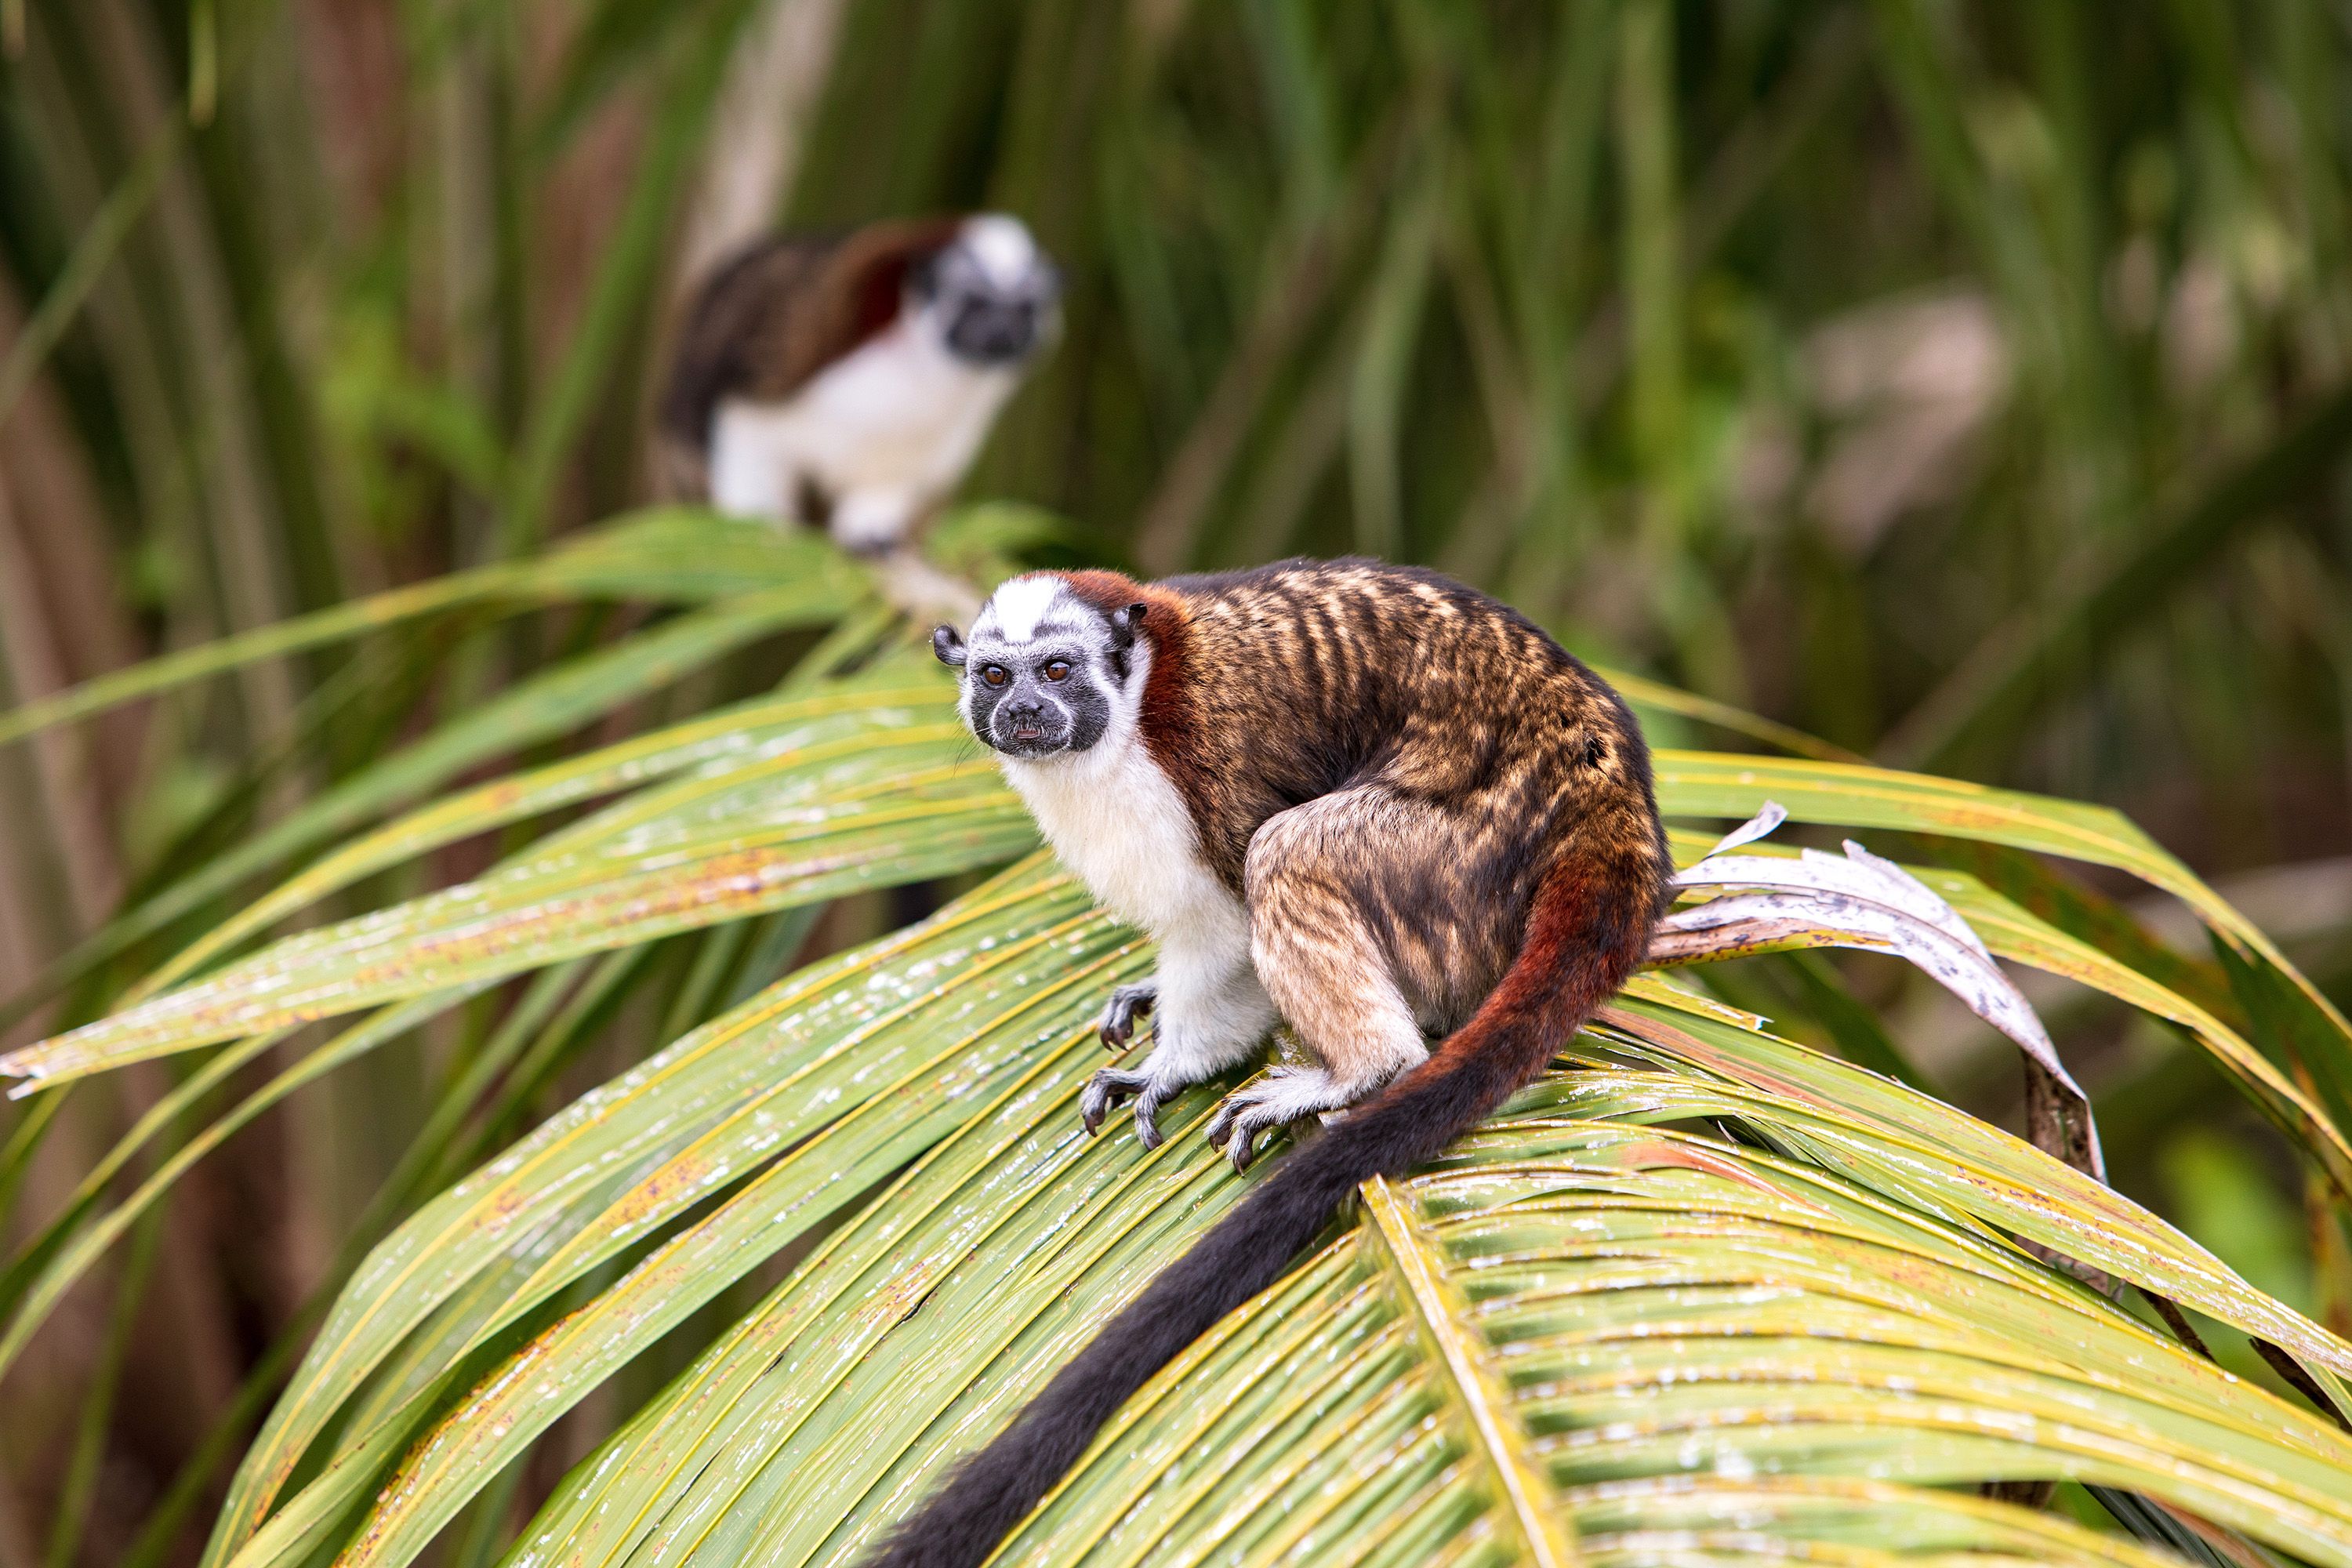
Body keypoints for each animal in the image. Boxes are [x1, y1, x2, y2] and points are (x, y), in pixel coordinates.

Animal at [658, 214, 1060, 555]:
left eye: (1023, 312)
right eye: (975, 306)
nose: (1002, 331)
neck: (922, 365)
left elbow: (897, 473)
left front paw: (871, 523)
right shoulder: (795, 348)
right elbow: (748, 431)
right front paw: (757, 527)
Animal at [871, 558, 1674, 1568]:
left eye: (1056, 672)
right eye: (991, 675)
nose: (1020, 711)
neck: (1130, 713)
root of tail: (1606, 810)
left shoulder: (1201, 764)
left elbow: (1226, 920)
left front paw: (1174, 1064)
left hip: (1468, 853)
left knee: (1288, 848)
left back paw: (1363, 1067)